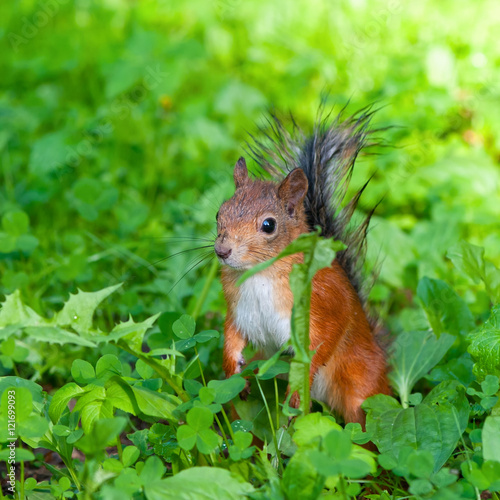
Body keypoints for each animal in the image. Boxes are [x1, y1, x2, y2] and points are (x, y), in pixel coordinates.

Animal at [214, 108, 390, 426]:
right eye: (219, 214)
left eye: (268, 225)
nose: (222, 251)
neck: (262, 273)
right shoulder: (238, 308)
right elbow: (231, 335)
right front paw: (232, 368)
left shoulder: (324, 301)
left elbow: (324, 341)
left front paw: (296, 392)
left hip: (361, 386)